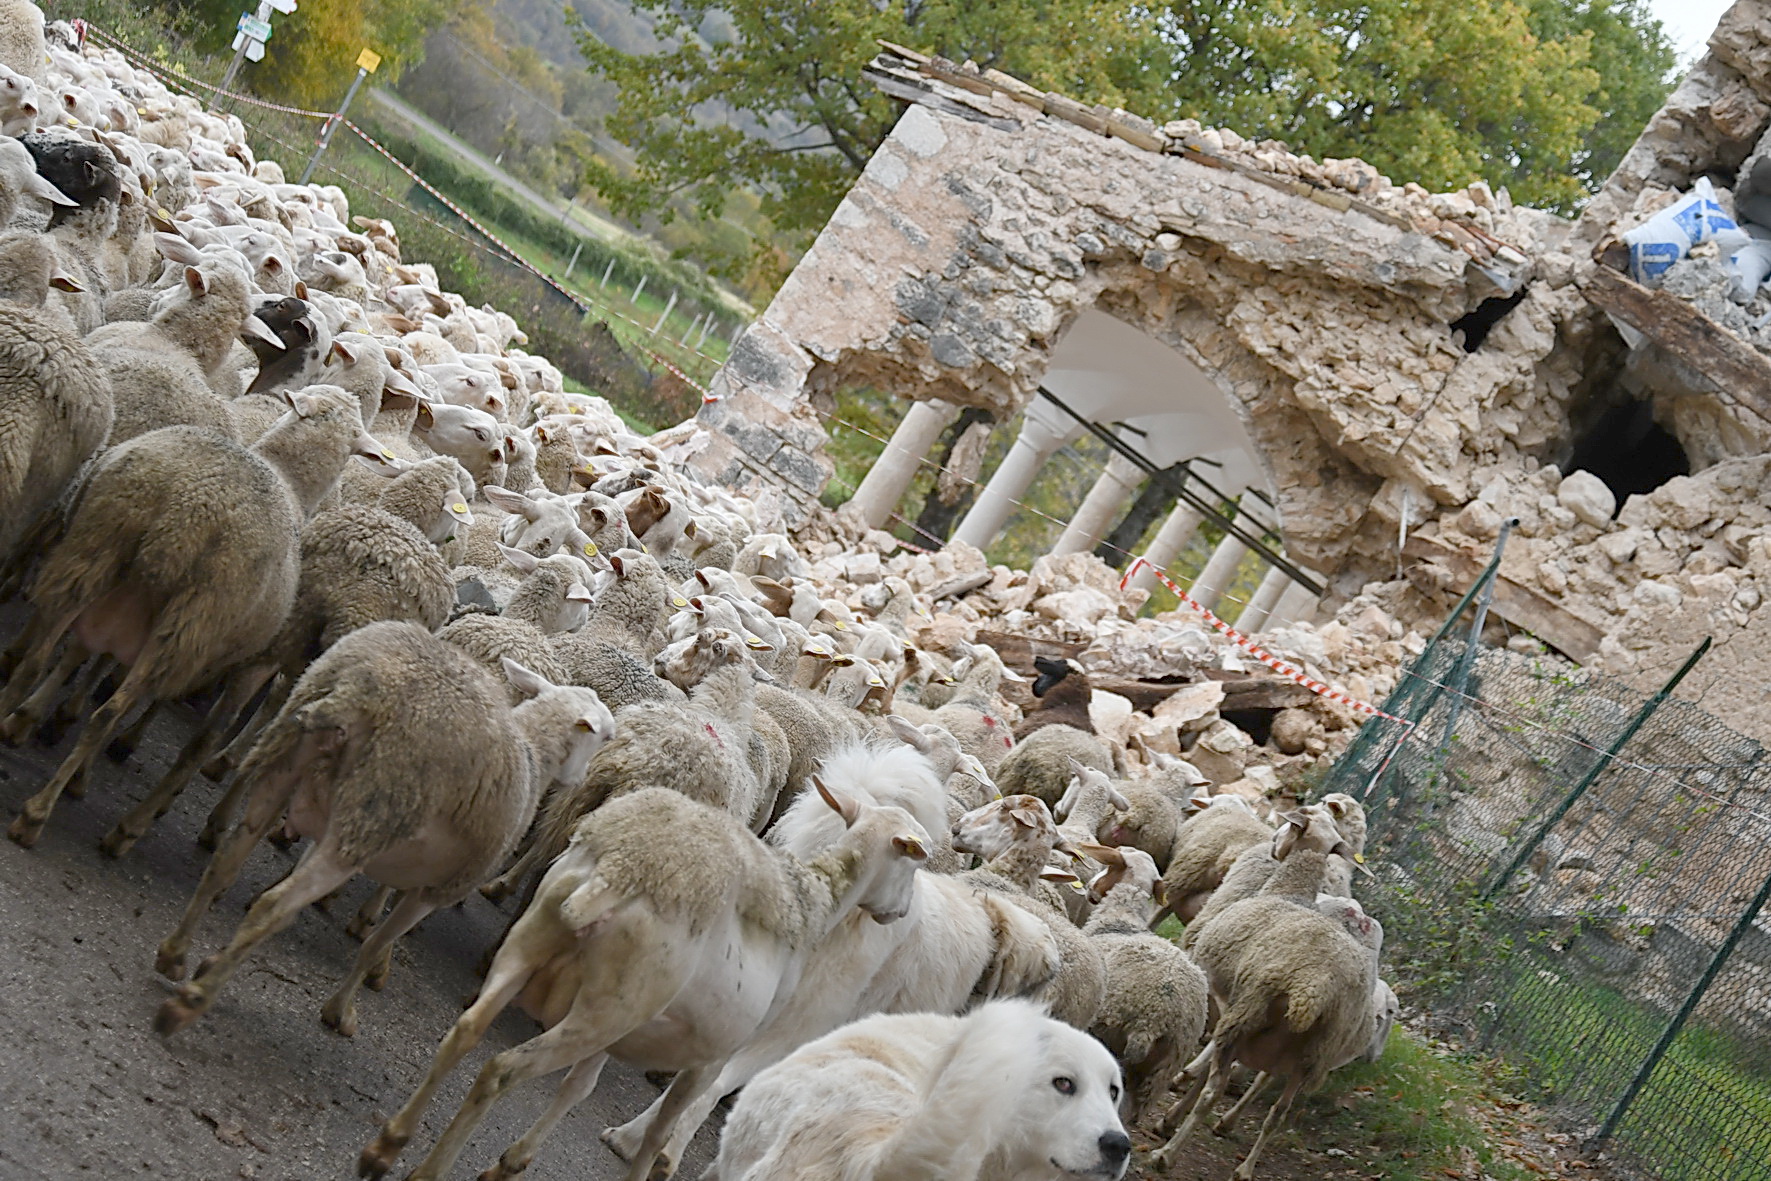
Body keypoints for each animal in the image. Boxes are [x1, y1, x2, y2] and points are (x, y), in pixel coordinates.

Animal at [1, 387, 390, 847]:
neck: (289, 481)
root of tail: (180, 504)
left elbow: (83, 656)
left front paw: (39, 721)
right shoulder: (237, 656)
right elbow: (201, 737)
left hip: (94, 554)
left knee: (37, 658)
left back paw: (9, 719)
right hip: (188, 622)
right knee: (109, 713)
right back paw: (40, 815)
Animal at [152, 627, 613, 1037]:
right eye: (605, 737)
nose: (581, 780)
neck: (534, 757)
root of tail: (353, 691)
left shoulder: (359, 833)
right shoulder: (436, 887)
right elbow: (375, 939)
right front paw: (341, 1009)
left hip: (293, 774)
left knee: (225, 863)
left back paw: (176, 954)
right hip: (376, 809)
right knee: (274, 906)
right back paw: (191, 1000)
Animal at [358, 780, 931, 1181]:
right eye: (912, 866)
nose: (900, 913)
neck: (815, 902)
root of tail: (614, 870)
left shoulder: (628, 1032)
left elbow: (579, 1087)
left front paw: (513, 1161)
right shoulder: (712, 1056)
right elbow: (658, 1132)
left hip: (551, 962)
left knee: (465, 1032)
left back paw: (387, 1145)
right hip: (609, 1005)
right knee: (501, 1069)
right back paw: (426, 1168)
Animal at [1075, 842, 1209, 1124]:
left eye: (1108, 866)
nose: (1089, 886)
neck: (1121, 918)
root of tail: (1153, 1020)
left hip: (1111, 1042)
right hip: (1159, 1075)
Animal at [1150, 808, 1376, 1178]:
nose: (1273, 843)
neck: (1286, 889)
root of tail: (1314, 986)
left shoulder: (1224, 1001)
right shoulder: (1234, 1016)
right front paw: (1173, 1114)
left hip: (1251, 1012)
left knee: (1214, 1093)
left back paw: (1166, 1155)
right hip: (1310, 1056)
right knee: (1276, 1114)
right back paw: (1244, 1168)